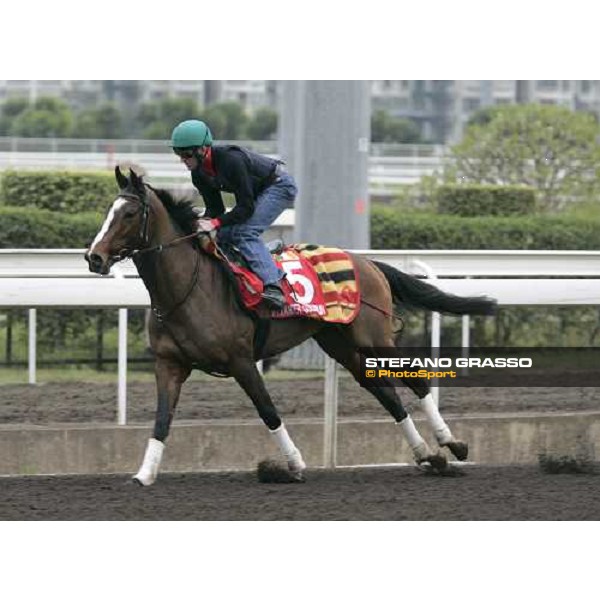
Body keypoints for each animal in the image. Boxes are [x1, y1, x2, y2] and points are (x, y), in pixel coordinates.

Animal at [84, 166, 496, 486]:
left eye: (129, 214)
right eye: (109, 210)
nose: (94, 257)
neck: (189, 288)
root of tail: (369, 262)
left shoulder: (241, 360)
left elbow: (268, 410)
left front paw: (295, 464)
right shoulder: (170, 365)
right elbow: (161, 420)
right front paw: (144, 474)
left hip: (373, 337)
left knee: (415, 379)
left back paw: (451, 443)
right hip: (342, 345)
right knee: (386, 395)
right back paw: (426, 454)